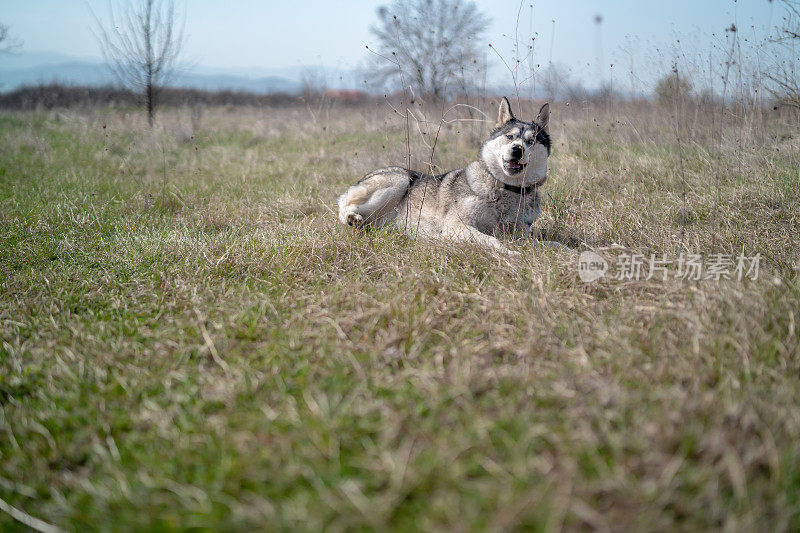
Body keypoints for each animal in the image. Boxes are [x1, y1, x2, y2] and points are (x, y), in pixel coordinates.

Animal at [338, 97, 552, 251]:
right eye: (510, 137)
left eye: (531, 141)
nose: (517, 149)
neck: (504, 189)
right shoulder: (456, 227)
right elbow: (494, 241)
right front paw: (511, 253)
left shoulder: (520, 233)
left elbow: (546, 243)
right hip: (398, 181)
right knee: (343, 206)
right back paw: (352, 219)